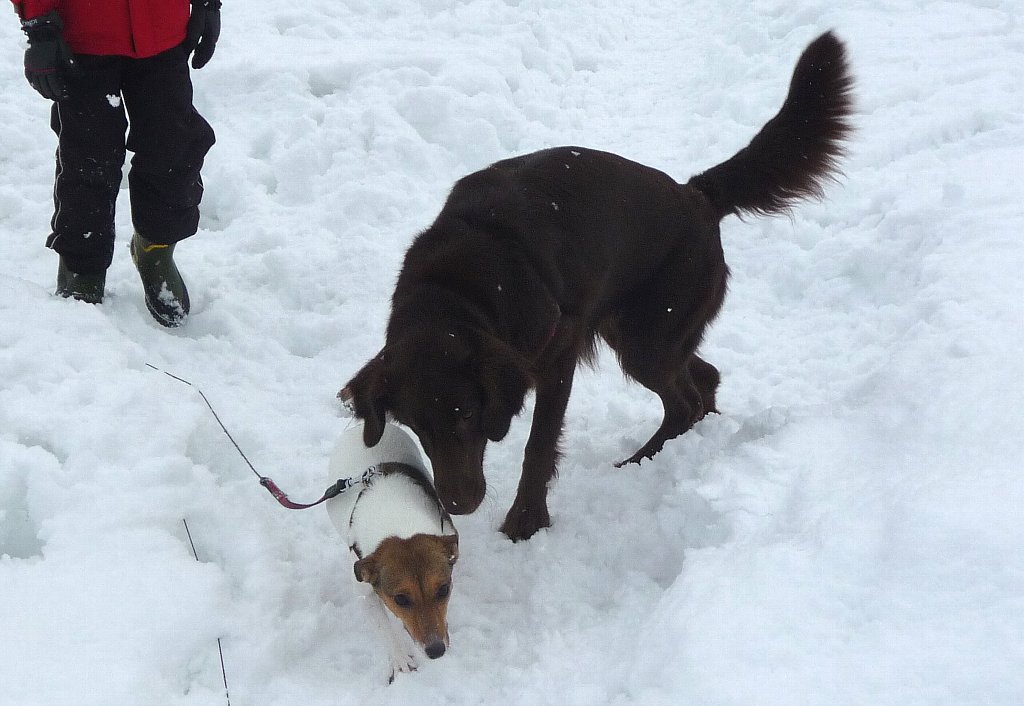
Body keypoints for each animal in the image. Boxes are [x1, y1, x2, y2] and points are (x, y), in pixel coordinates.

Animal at [326, 421, 458, 682]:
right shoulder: (364, 590)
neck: (397, 519)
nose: (436, 651)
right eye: (401, 599)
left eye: (443, 590)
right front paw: (400, 660)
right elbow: (384, 628)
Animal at [341, 31, 854, 541]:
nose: (458, 505)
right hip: (635, 328)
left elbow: (538, 444)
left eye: (467, 413)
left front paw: (525, 521)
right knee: (703, 379)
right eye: (416, 426)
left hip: (649, 335)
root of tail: (696, 195)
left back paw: (639, 463)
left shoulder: (558, 349)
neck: (455, 290)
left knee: (685, 401)